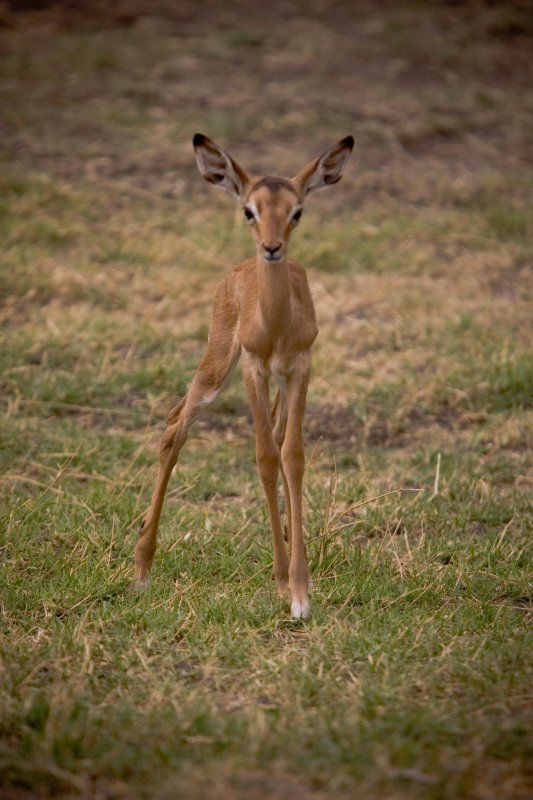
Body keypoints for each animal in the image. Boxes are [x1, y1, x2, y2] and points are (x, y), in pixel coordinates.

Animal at [134, 134, 354, 616]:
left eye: (297, 210)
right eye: (248, 210)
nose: (272, 247)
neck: (275, 326)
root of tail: (238, 269)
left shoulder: (299, 368)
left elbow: (292, 455)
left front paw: (300, 589)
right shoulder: (255, 368)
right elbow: (266, 457)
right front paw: (285, 583)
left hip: (272, 384)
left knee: (265, 432)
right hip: (218, 367)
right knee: (175, 426)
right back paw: (141, 568)